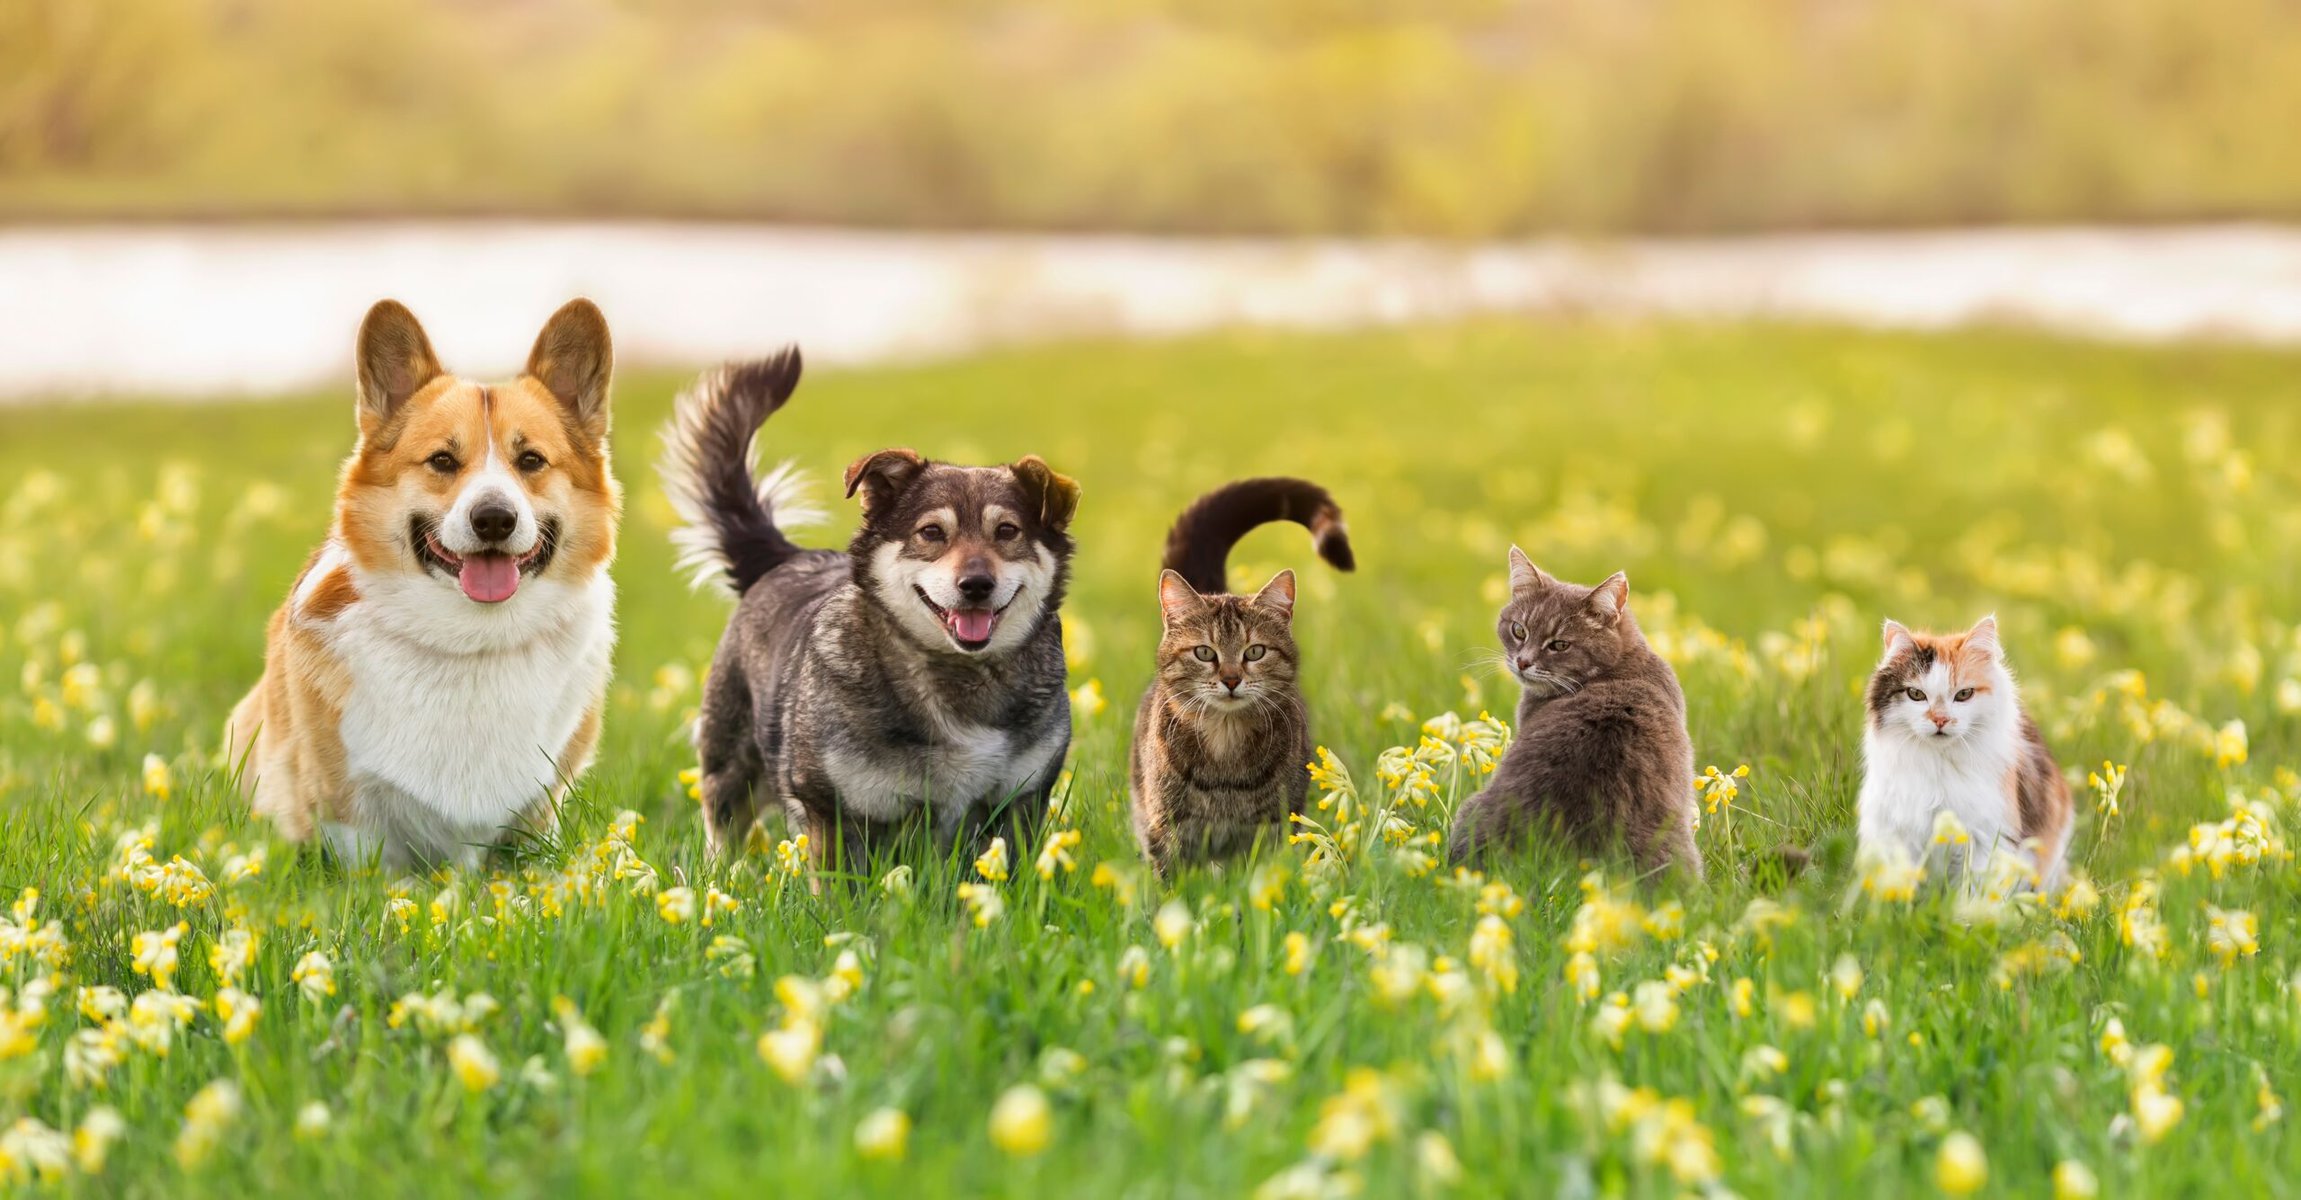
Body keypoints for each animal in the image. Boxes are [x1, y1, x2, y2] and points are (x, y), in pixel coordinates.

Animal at [225, 294, 625, 864]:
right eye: (442, 460)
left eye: (531, 460)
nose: (494, 519)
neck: (474, 642)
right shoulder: (351, 815)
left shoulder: (541, 806)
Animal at [653, 349, 1072, 864]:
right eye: (932, 532)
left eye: (1008, 531)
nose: (976, 584)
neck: (959, 676)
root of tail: (787, 557)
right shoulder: (834, 809)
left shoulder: (1020, 801)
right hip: (730, 769)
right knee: (722, 830)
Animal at [1859, 611, 2080, 882]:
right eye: (1916, 694)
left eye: (1964, 695)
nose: (1940, 719)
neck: (1940, 763)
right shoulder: (1895, 830)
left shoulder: (1989, 835)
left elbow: (1976, 887)